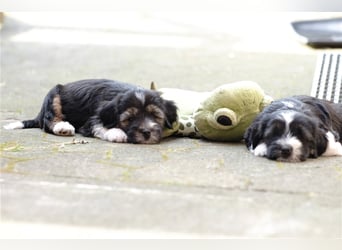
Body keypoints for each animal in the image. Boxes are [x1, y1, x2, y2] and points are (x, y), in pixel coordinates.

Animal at [4, 78, 178, 145]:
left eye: (155, 116)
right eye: (129, 119)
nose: (147, 133)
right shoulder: (90, 121)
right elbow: (100, 125)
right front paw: (117, 133)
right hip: (53, 95)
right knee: (49, 120)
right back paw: (63, 127)